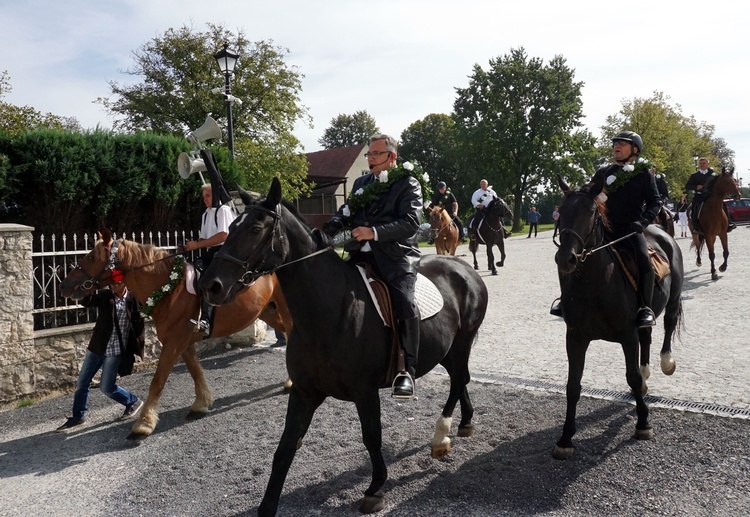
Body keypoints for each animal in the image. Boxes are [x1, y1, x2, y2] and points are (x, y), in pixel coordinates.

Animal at [60, 231, 294, 440]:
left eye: (91, 257)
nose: (65, 285)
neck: (168, 289)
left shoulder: (173, 343)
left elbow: (158, 381)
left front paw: (143, 424)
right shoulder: (184, 342)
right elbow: (196, 371)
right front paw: (201, 404)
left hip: (285, 308)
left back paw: (291, 382)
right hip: (267, 311)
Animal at [197, 176, 490, 512]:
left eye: (255, 229)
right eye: (231, 227)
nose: (210, 285)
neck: (328, 312)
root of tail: (463, 269)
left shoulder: (365, 392)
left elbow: (371, 437)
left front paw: (375, 488)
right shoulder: (304, 393)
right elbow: (285, 448)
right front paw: (267, 505)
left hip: (462, 341)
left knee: (458, 381)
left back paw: (441, 438)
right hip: (446, 350)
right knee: (460, 378)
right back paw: (465, 423)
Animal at [556, 174, 684, 460]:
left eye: (591, 212)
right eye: (561, 212)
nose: (565, 258)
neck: (595, 284)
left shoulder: (627, 335)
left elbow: (632, 377)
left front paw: (643, 423)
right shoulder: (575, 337)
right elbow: (573, 385)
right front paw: (566, 438)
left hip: (672, 299)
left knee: (668, 324)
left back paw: (666, 362)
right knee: (647, 337)